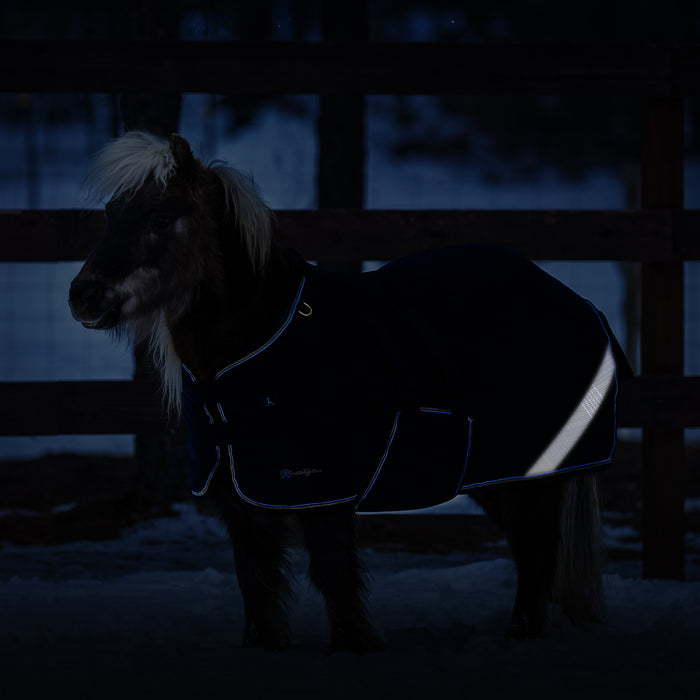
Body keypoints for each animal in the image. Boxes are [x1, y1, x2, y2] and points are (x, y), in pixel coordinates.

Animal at [69, 131, 628, 653]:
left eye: (161, 219)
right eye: (111, 212)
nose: (84, 296)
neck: (254, 347)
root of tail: (567, 296)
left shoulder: (324, 493)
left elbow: (334, 576)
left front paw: (356, 644)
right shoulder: (239, 497)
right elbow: (257, 581)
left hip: (533, 475)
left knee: (536, 549)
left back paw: (522, 633)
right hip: (499, 477)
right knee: (527, 548)